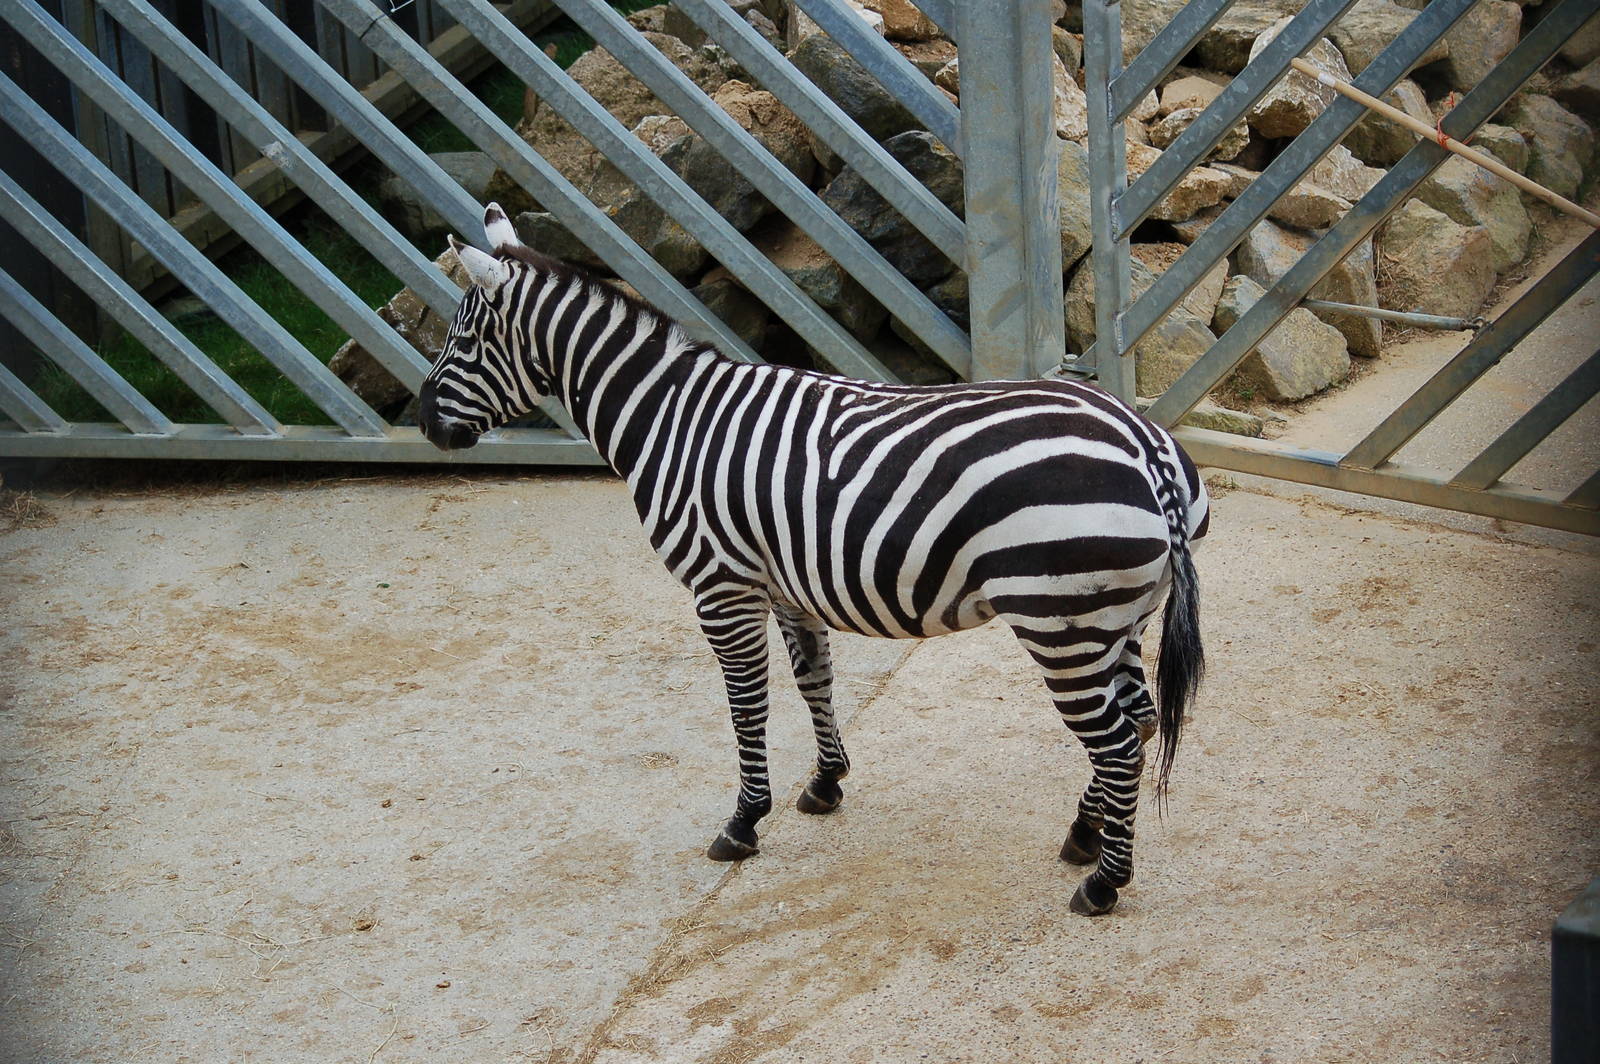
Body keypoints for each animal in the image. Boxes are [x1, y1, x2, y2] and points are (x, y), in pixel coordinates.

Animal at [419, 203, 1210, 916]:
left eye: (463, 339)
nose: (426, 424)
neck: (670, 419)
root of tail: (1145, 443)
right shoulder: (783, 583)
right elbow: (813, 680)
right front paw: (827, 783)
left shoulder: (720, 588)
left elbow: (746, 703)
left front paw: (743, 820)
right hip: (1118, 617)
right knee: (1139, 723)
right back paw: (1085, 832)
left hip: (1062, 621)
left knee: (1117, 741)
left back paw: (1104, 882)